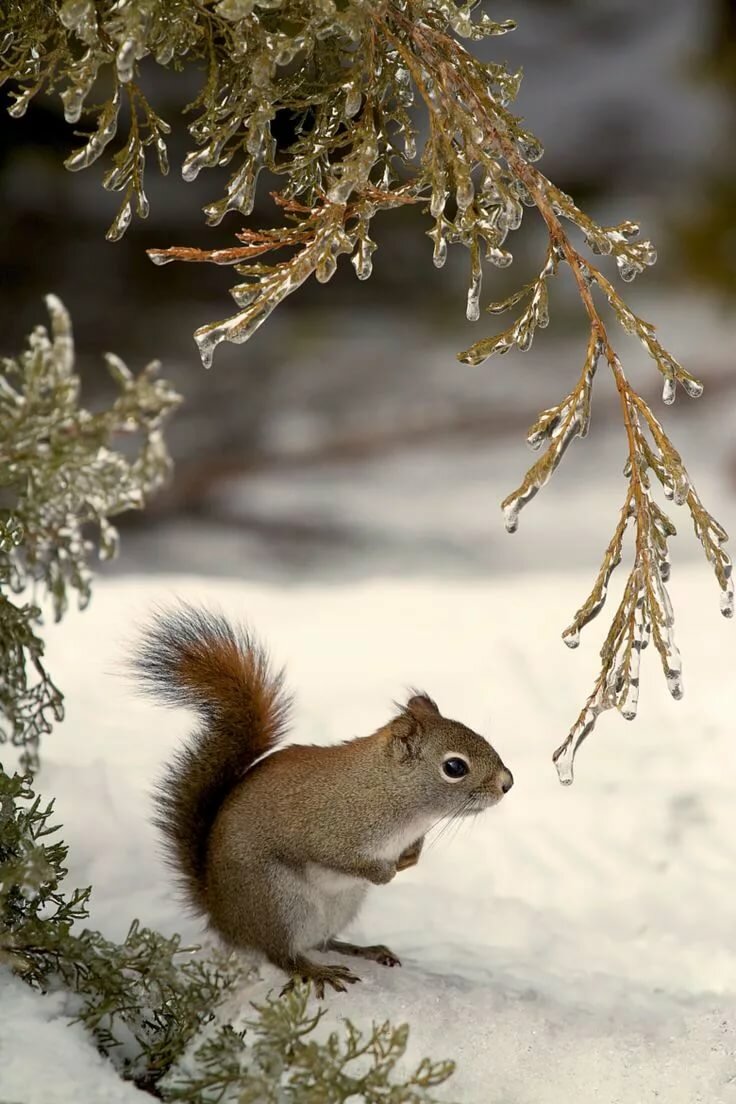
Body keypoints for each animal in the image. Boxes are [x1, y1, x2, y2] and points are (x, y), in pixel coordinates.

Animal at [131, 605, 514, 998]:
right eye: (454, 767)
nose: (508, 783)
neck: (391, 792)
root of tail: (224, 919)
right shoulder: (327, 829)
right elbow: (337, 856)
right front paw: (385, 872)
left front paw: (411, 857)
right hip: (279, 902)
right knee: (283, 954)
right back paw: (316, 971)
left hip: (340, 904)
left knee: (323, 942)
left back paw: (364, 949)